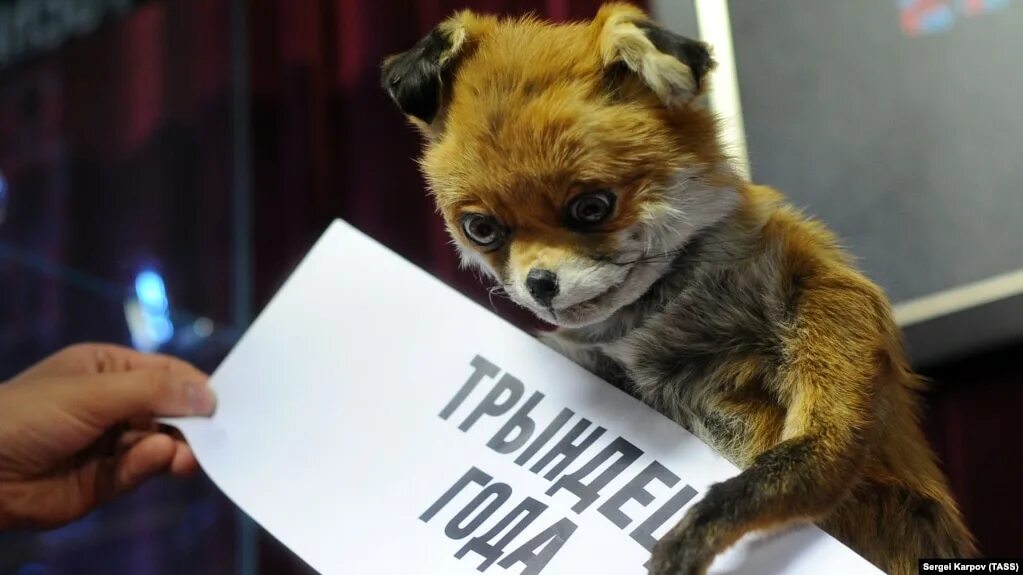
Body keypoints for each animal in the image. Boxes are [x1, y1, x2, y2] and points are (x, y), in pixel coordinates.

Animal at [380, 4, 977, 574]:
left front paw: (686, 542)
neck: (659, 332)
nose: (541, 285)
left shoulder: (831, 315)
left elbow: (769, 479)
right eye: (481, 229)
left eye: (592, 207)